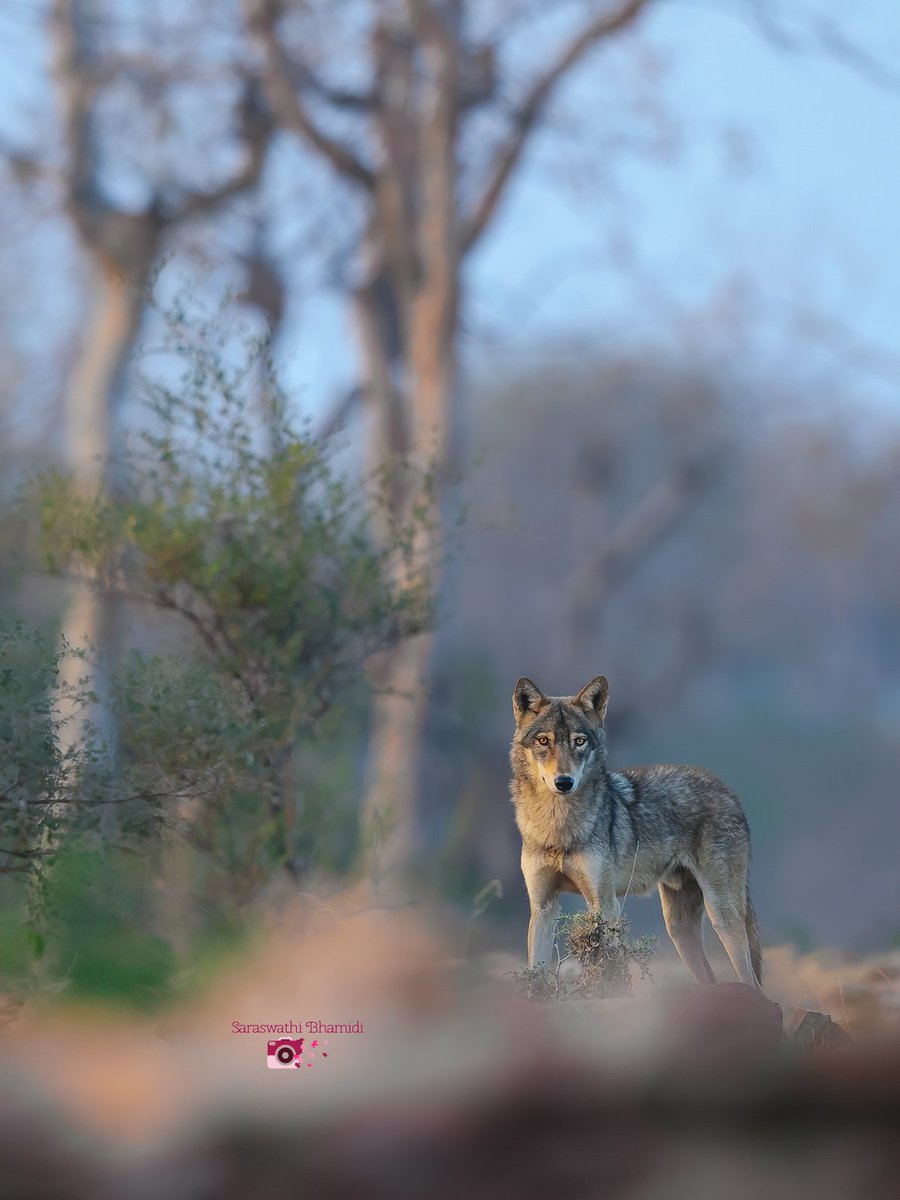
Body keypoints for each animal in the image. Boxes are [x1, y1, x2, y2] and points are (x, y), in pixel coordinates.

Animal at [511, 672, 763, 988]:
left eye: (579, 742)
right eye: (544, 741)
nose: (564, 782)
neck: (557, 825)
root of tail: (728, 790)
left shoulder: (605, 905)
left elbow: (606, 969)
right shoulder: (543, 907)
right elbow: (536, 974)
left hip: (722, 915)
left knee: (752, 981)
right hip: (679, 930)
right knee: (711, 978)